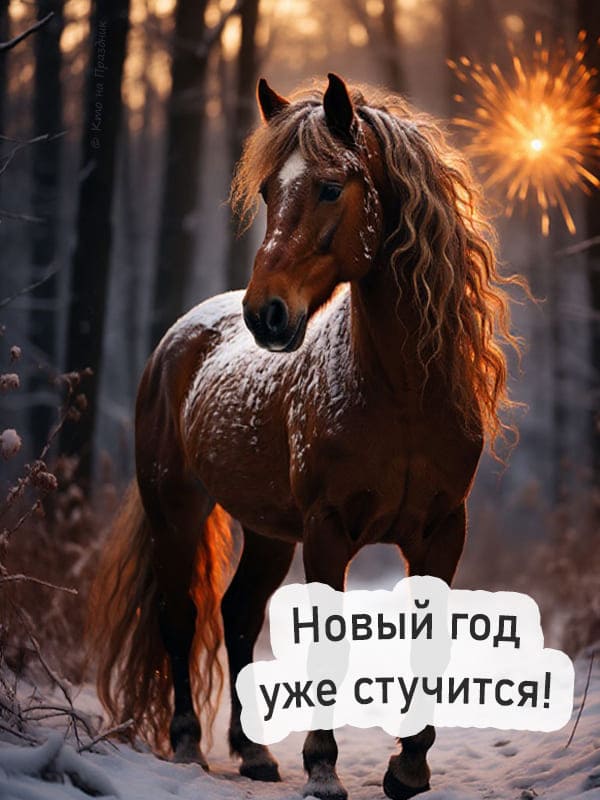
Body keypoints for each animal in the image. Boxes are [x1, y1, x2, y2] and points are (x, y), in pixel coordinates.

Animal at [89, 73, 522, 800]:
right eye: (267, 190)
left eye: (328, 186)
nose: (266, 314)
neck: (403, 392)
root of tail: (179, 337)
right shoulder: (327, 530)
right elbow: (328, 645)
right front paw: (323, 768)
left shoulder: (441, 531)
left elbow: (428, 640)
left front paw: (409, 766)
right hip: (175, 512)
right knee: (181, 617)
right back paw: (189, 744)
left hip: (267, 532)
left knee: (236, 614)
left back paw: (254, 753)